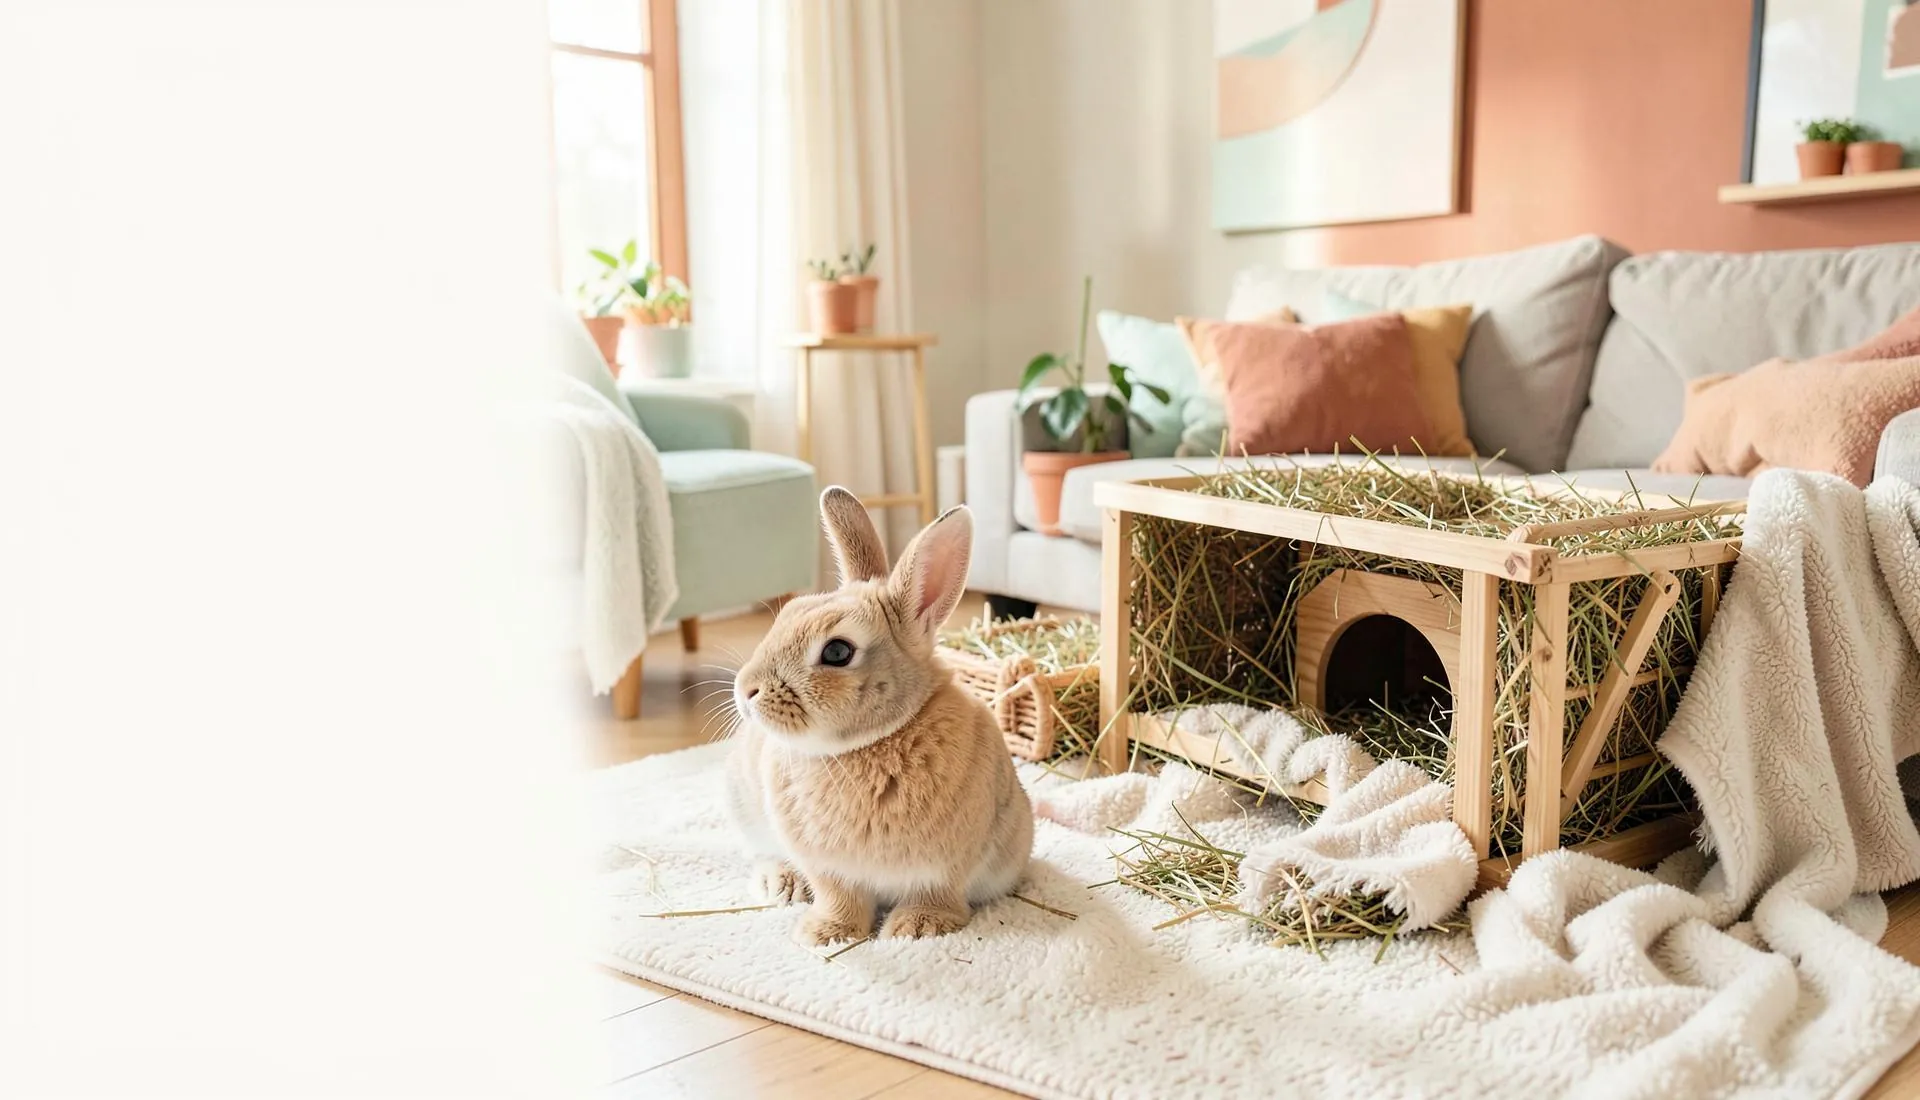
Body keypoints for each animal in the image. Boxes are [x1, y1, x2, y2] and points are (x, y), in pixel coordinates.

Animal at [724, 486, 1034, 946]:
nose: (746, 690)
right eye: (787, 615)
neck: (871, 742)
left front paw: (916, 928)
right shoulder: (829, 868)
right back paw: (783, 885)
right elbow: (839, 897)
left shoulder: (944, 868)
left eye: (838, 651)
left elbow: (936, 893)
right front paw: (825, 934)